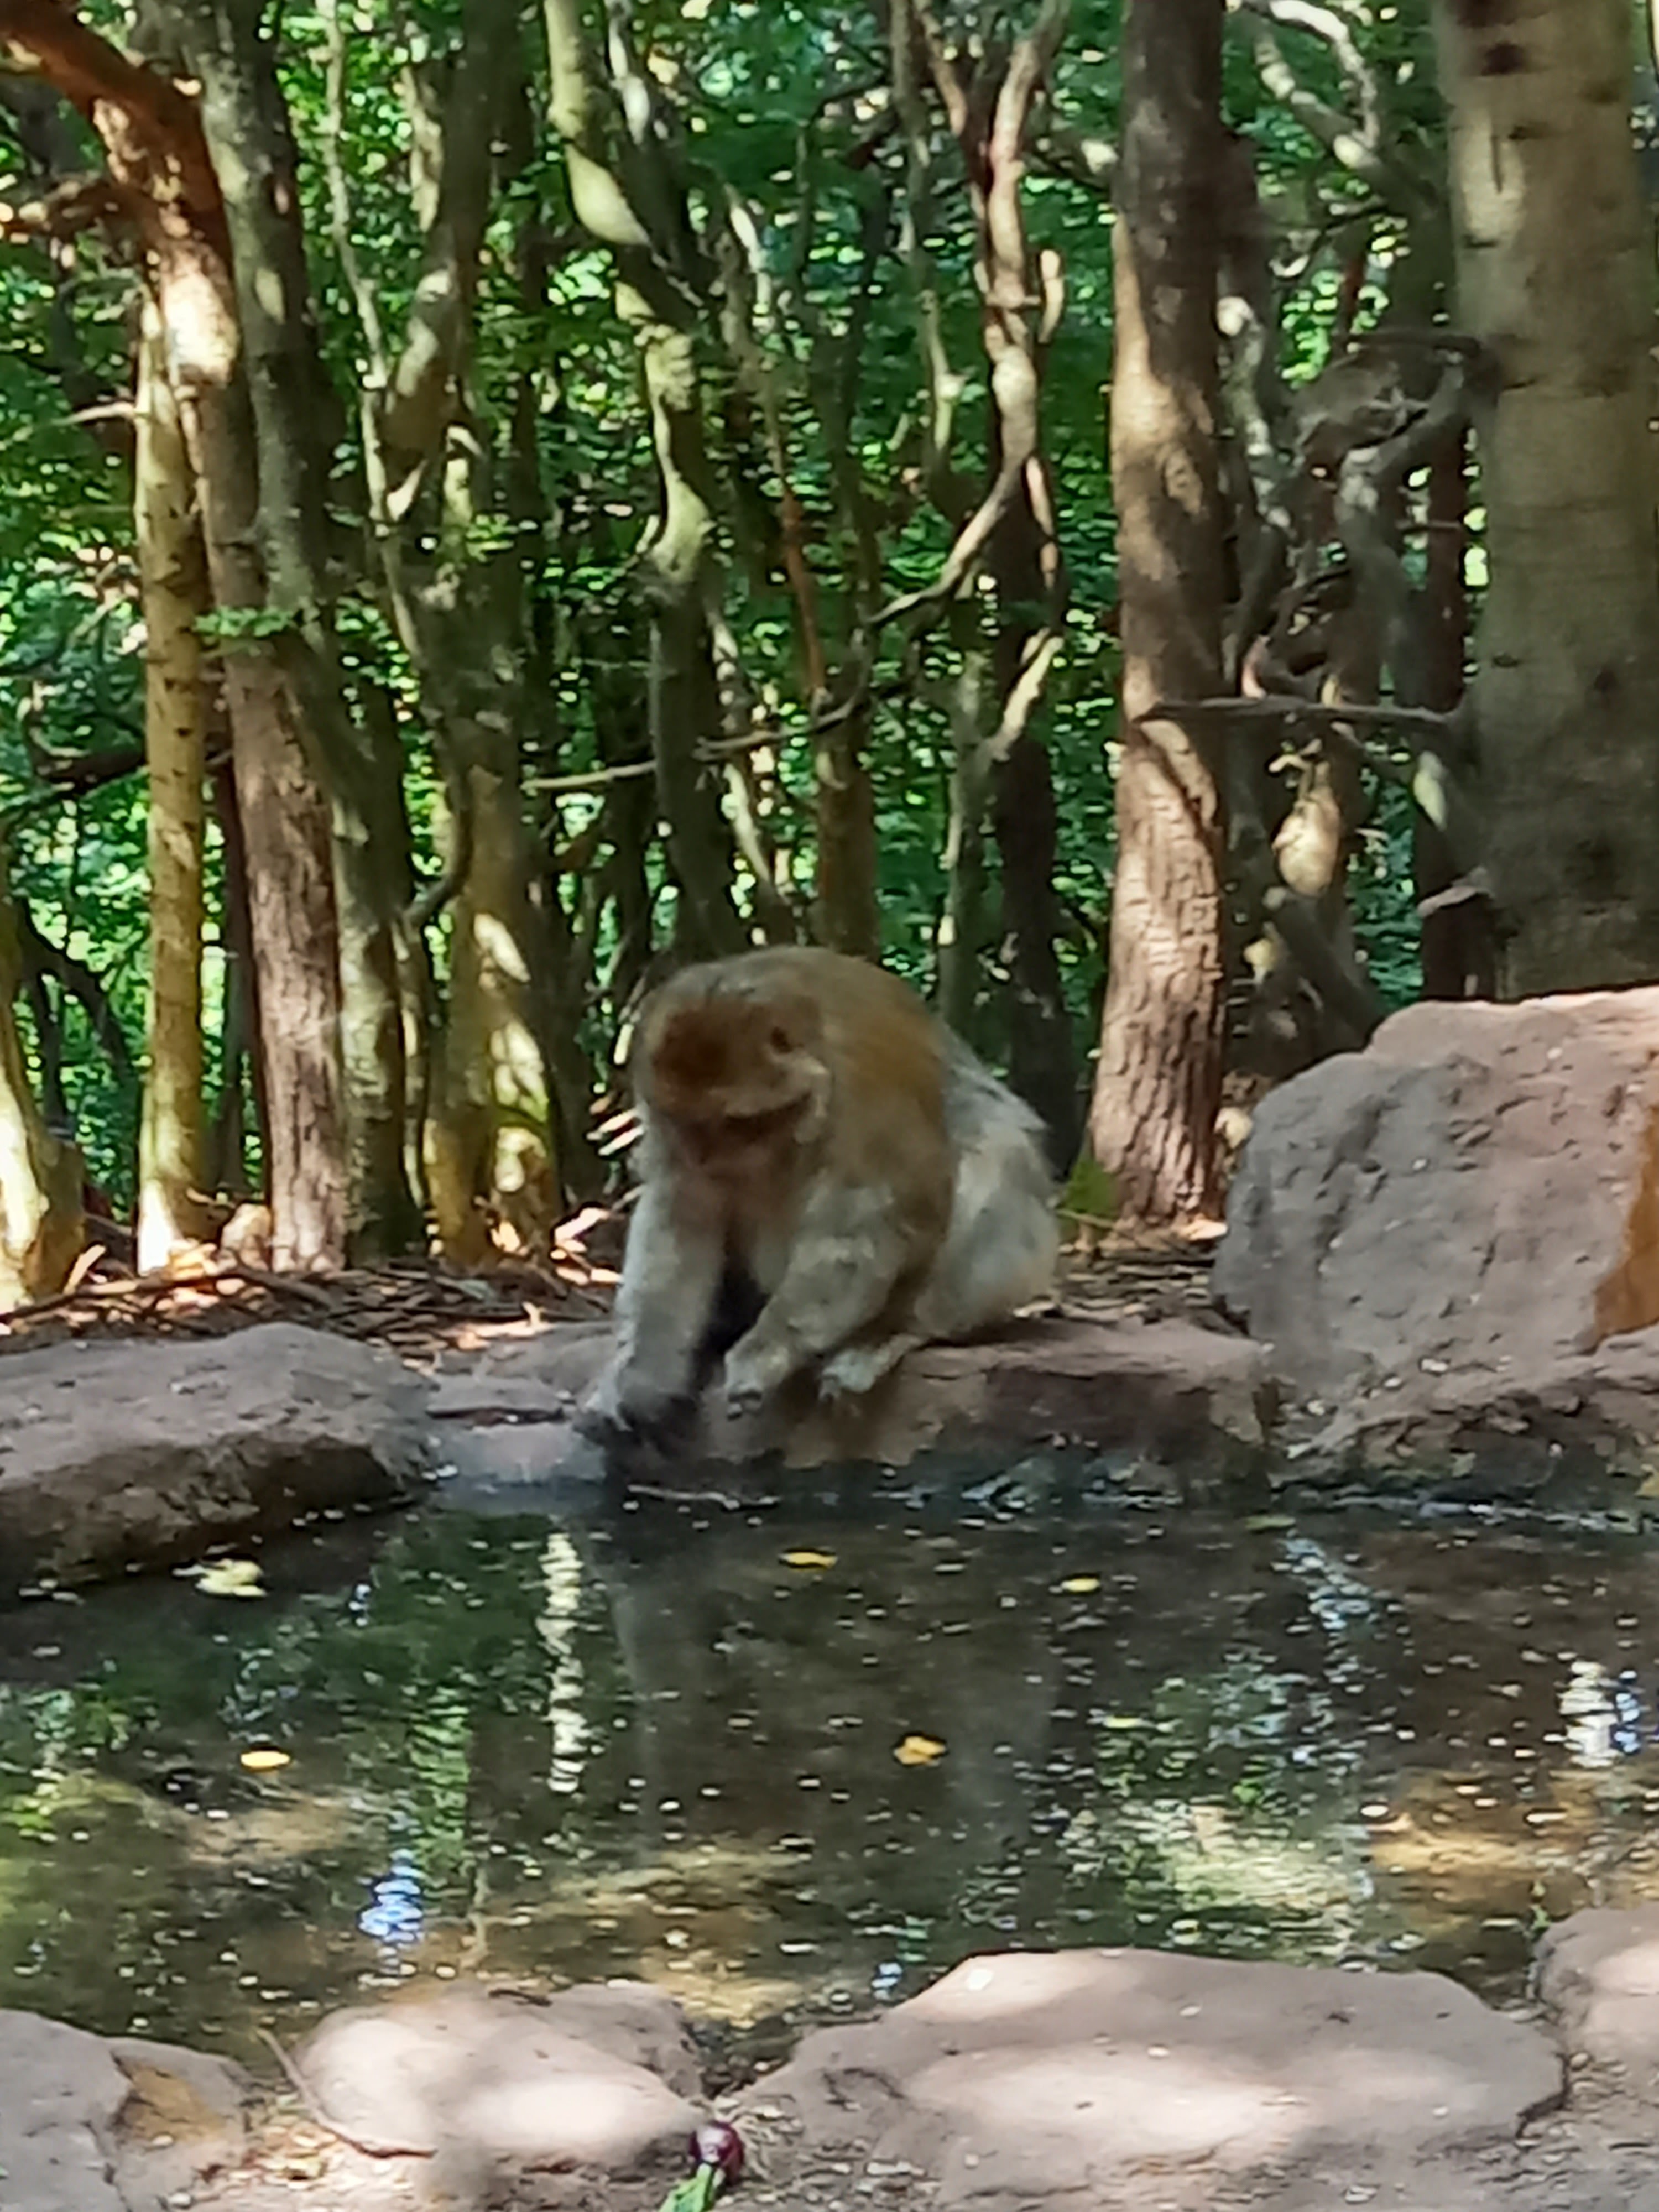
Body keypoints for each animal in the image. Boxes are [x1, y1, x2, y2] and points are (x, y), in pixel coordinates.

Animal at [579, 946, 1060, 1448]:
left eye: (735, 1122)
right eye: (689, 1123)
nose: (705, 1155)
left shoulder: (866, 1089)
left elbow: (865, 1229)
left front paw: (767, 1351)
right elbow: (679, 1222)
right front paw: (638, 1378)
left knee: (999, 1156)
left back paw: (887, 1334)